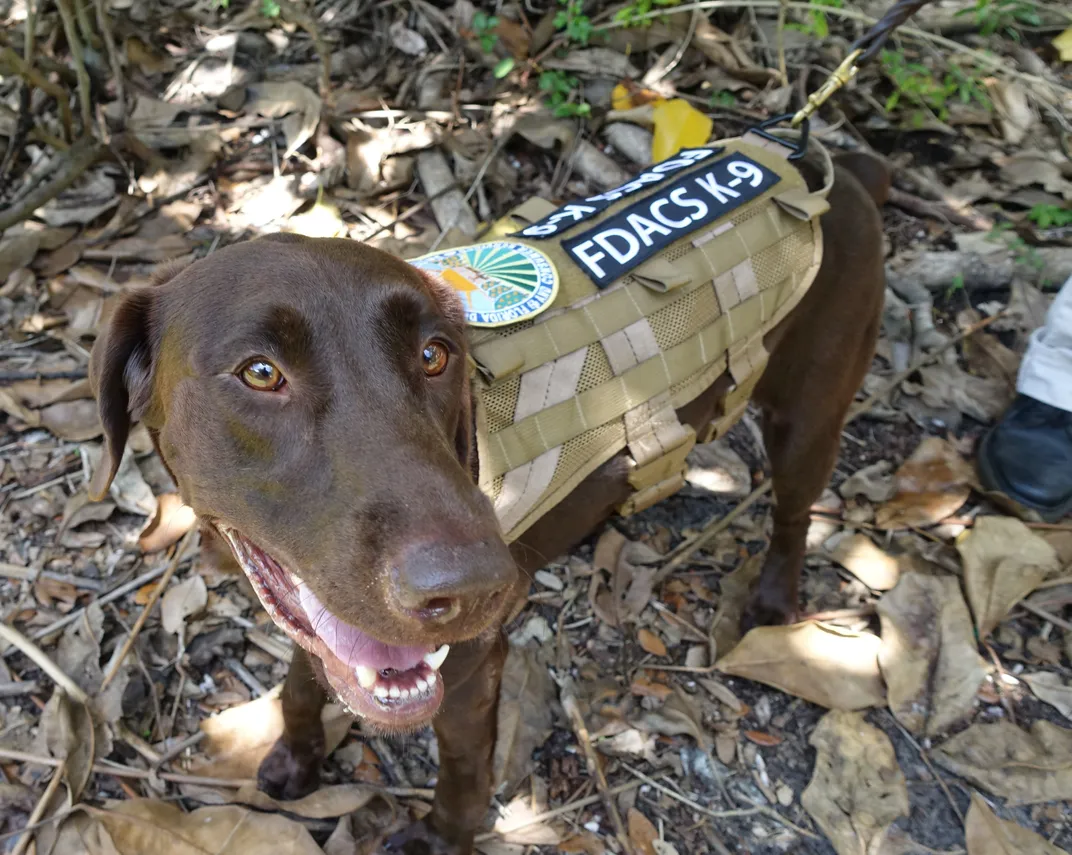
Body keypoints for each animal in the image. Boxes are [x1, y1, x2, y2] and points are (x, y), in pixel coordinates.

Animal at [85, 147, 887, 848]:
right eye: (259, 372)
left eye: (436, 354)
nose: (472, 586)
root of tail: (832, 163)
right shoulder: (325, 608)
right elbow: (305, 678)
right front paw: (297, 755)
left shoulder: (469, 668)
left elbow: (462, 768)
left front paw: (445, 837)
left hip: (810, 410)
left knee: (795, 511)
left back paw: (773, 600)